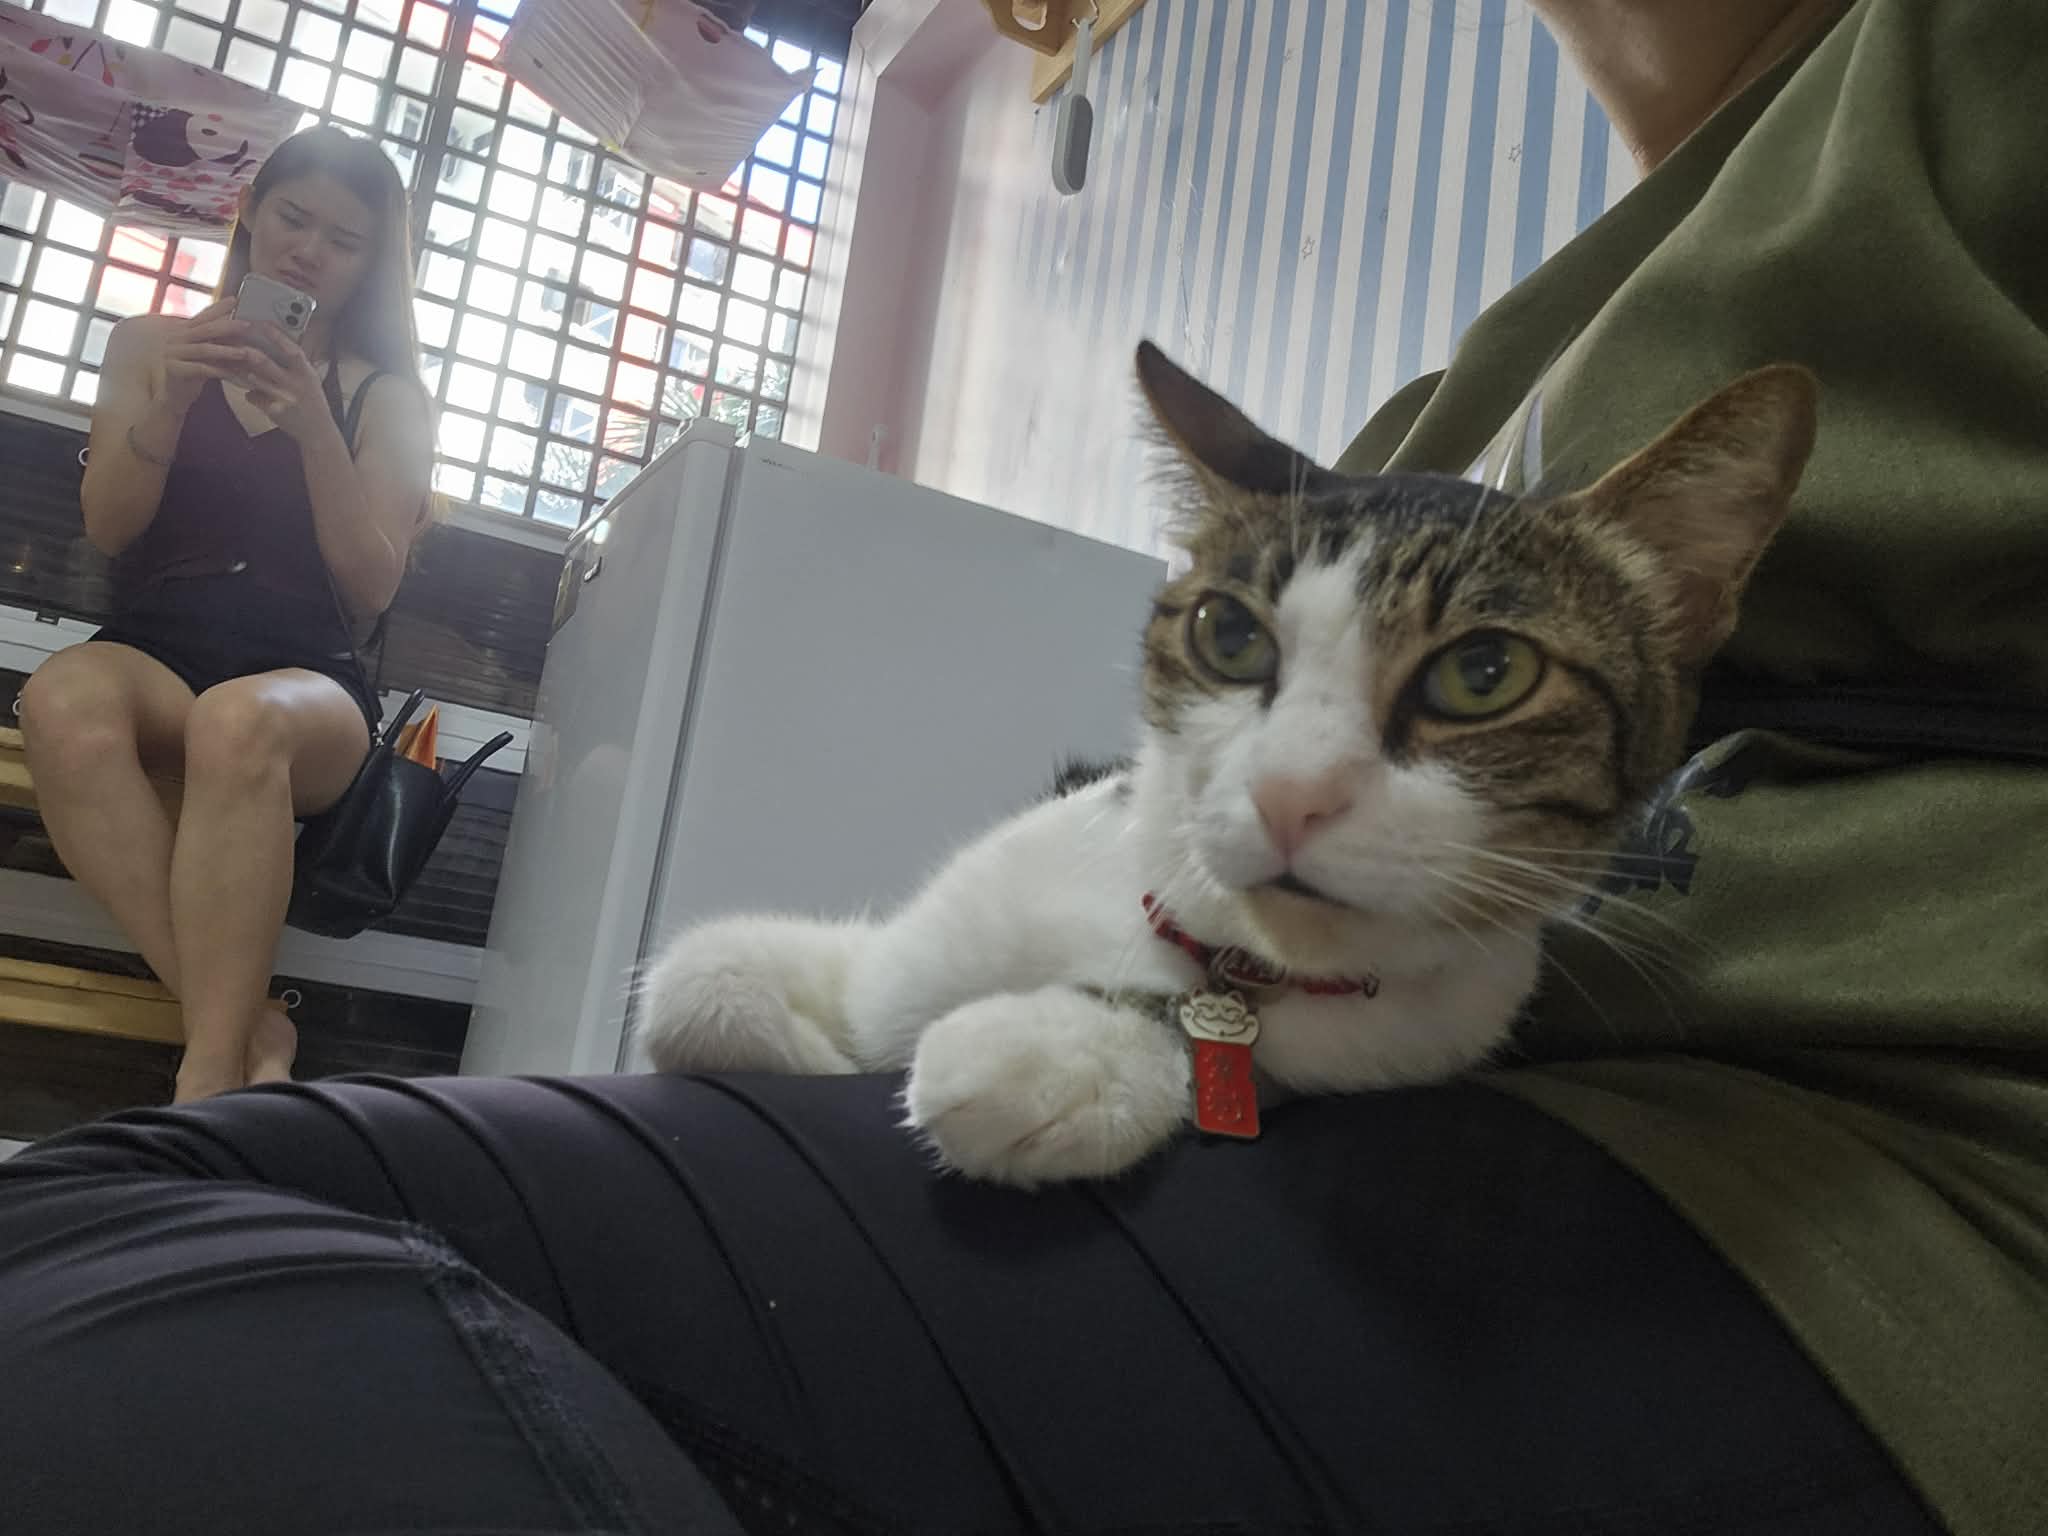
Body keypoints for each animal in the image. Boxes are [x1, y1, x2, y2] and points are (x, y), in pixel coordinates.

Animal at [637, 342, 1817, 1187]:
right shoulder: (912, 946)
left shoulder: (1406, 1035)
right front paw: (824, 1052)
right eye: (1230, 635)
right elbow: (697, 984)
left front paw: (1071, 1051)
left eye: (1484, 673)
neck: (1217, 951)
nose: (1292, 795)